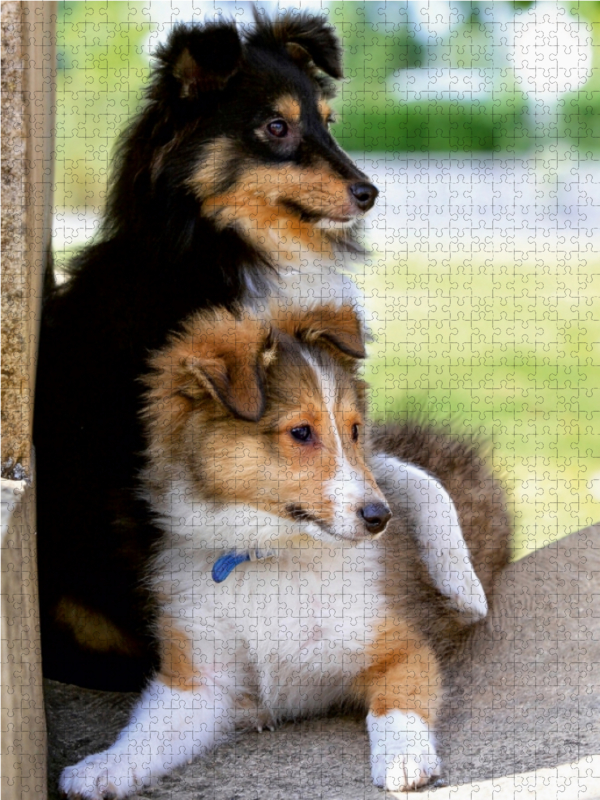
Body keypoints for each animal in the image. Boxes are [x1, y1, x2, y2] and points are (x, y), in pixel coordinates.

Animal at [61, 304, 442, 792]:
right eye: (301, 432)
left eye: (356, 430)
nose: (381, 517)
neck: (267, 555)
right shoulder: (199, 676)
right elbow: (147, 733)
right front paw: (101, 767)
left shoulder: (400, 648)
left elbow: (397, 704)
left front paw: (404, 759)